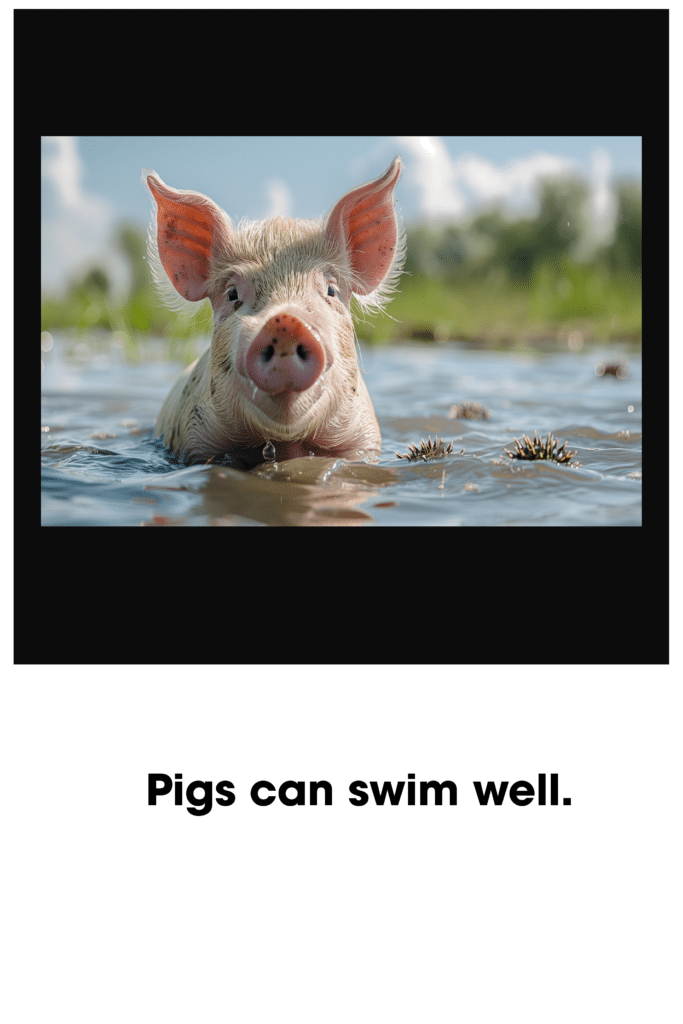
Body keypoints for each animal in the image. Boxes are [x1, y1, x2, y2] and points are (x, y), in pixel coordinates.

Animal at [142, 157, 404, 468]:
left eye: (331, 290)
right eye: (232, 294)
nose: (285, 322)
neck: (286, 443)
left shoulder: (363, 438)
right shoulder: (197, 439)